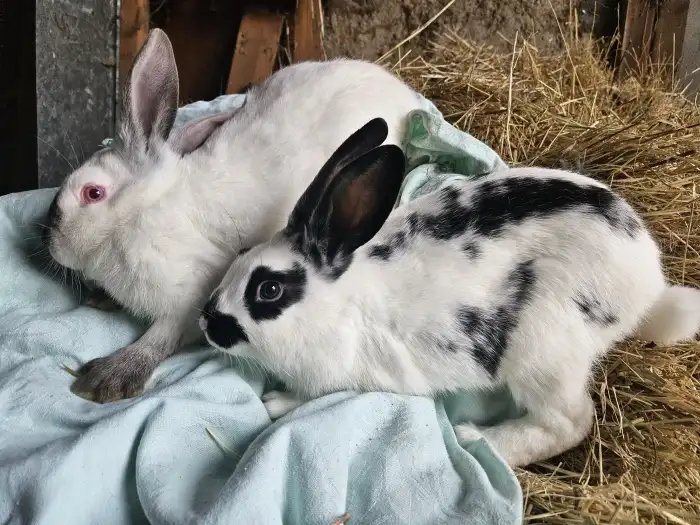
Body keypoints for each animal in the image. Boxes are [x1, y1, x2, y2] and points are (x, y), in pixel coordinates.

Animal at [42, 28, 424, 403]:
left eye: (93, 193)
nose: (49, 243)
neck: (140, 213)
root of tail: (403, 90)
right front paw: (101, 300)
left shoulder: (191, 297)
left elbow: (160, 338)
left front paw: (107, 379)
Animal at [199, 117, 700, 467]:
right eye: (240, 254)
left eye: (268, 289)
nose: (206, 320)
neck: (333, 305)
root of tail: (648, 288)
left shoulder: (340, 375)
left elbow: (307, 398)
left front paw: (274, 402)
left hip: (545, 349)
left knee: (569, 423)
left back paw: (477, 438)